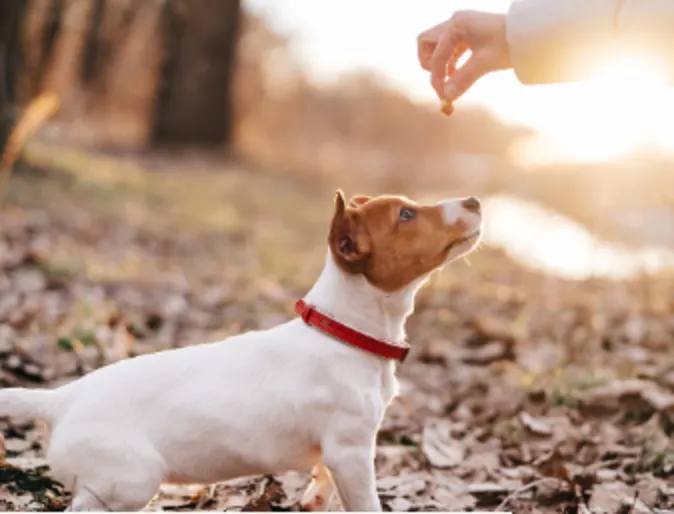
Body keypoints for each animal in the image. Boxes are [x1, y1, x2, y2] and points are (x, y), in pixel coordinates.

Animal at [0, 191, 480, 508]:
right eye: (406, 214)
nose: (475, 201)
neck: (343, 331)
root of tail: (61, 399)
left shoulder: (340, 454)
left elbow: (323, 484)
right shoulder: (352, 451)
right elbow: (365, 503)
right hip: (129, 479)